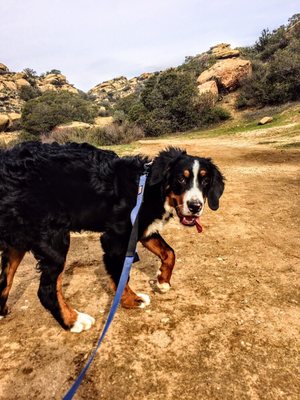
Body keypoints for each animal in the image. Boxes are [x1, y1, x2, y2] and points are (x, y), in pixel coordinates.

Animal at [0, 142, 225, 332]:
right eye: (181, 178)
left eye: (205, 180)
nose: (195, 206)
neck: (149, 188)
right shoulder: (116, 238)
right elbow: (121, 275)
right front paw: (132, 301)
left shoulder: (144, 230)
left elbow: (170, 253)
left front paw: (162, 280)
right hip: (54, 241)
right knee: (46, 291)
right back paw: (73, 321)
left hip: (17, 243)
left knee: (5, 280)